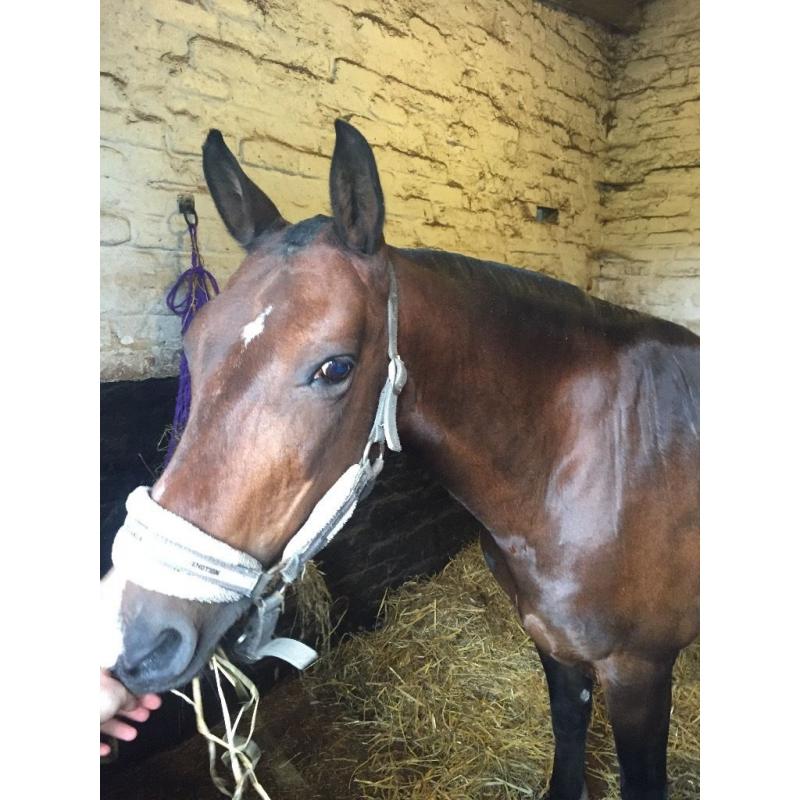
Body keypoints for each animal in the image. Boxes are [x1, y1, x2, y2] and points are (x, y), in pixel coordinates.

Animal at [104, 119, 699, 800]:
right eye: (195, 345)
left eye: (335, 367)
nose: (141, 632)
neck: (578, 463)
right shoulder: (554, 644)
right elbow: (568, 741)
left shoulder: (639, 674)